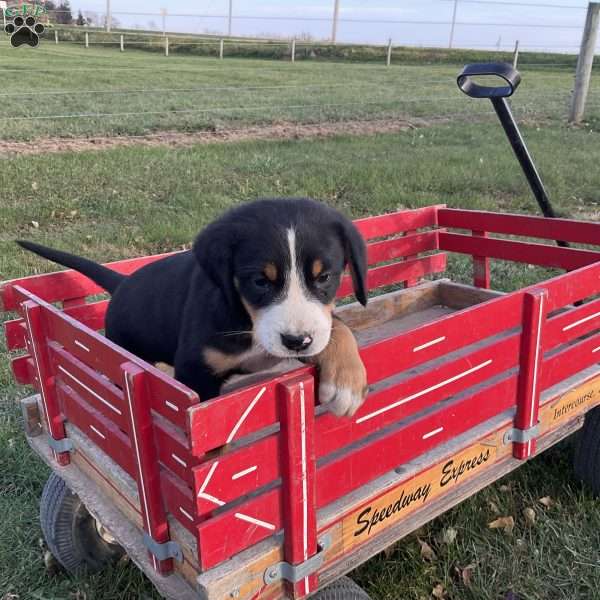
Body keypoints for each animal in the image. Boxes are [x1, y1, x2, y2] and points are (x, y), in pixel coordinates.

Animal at [16, 197, 368, 418]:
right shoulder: (195, 373)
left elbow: (336, 326)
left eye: (324, 277)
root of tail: (123, 283)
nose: (296, 341)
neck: (245, 321)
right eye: (259, 282)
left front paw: (347, 382)